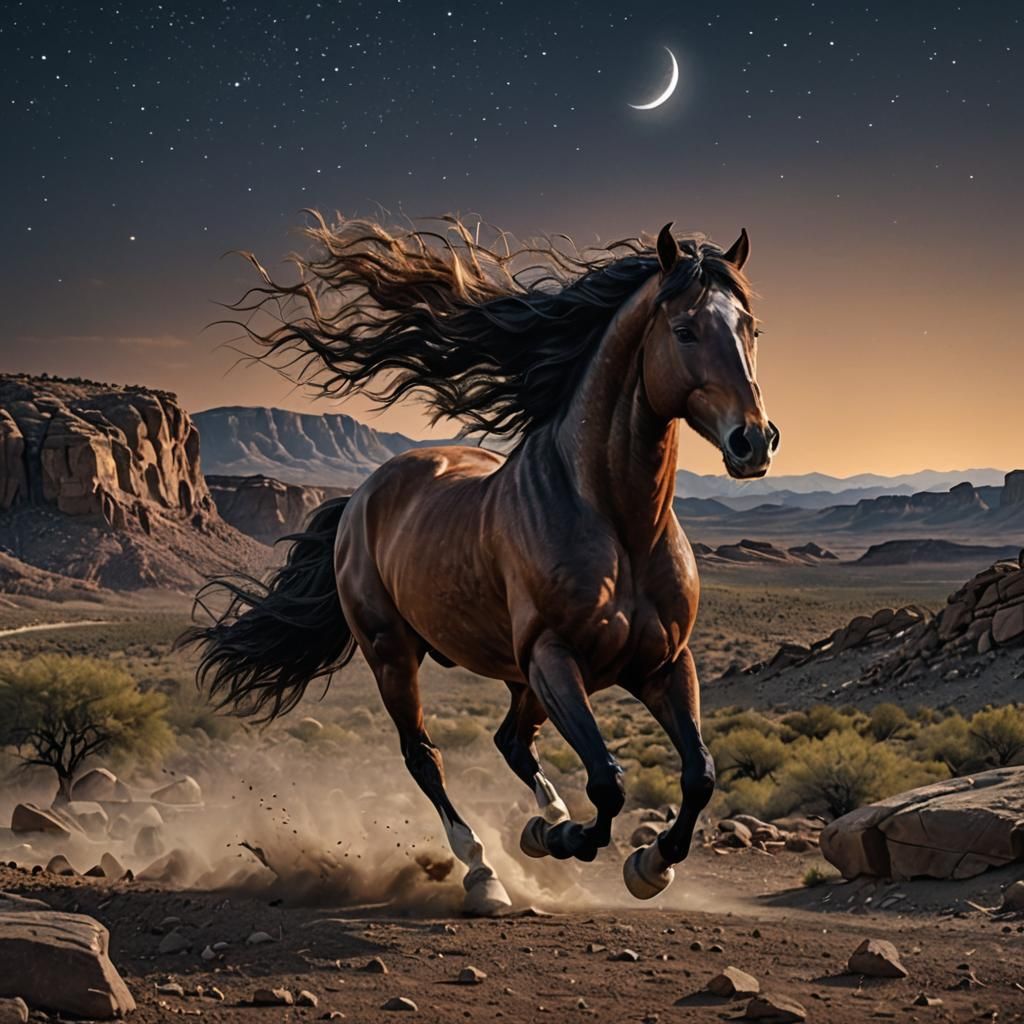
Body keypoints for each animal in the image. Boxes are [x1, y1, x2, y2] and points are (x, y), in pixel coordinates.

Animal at [184, 214, 779, 915]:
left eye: (751, 329)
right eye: (685, 329)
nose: (755, 441)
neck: (619, 524)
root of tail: (361, 496)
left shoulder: (663, 663)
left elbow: (700, 774)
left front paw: (648, 865)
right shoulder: (554, 657)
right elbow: (607, 781)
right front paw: (572, 841)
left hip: (520, 678)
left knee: (510, 742)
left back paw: (539, 825)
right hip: (396, 654)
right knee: (425, 757)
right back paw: (483, 871)